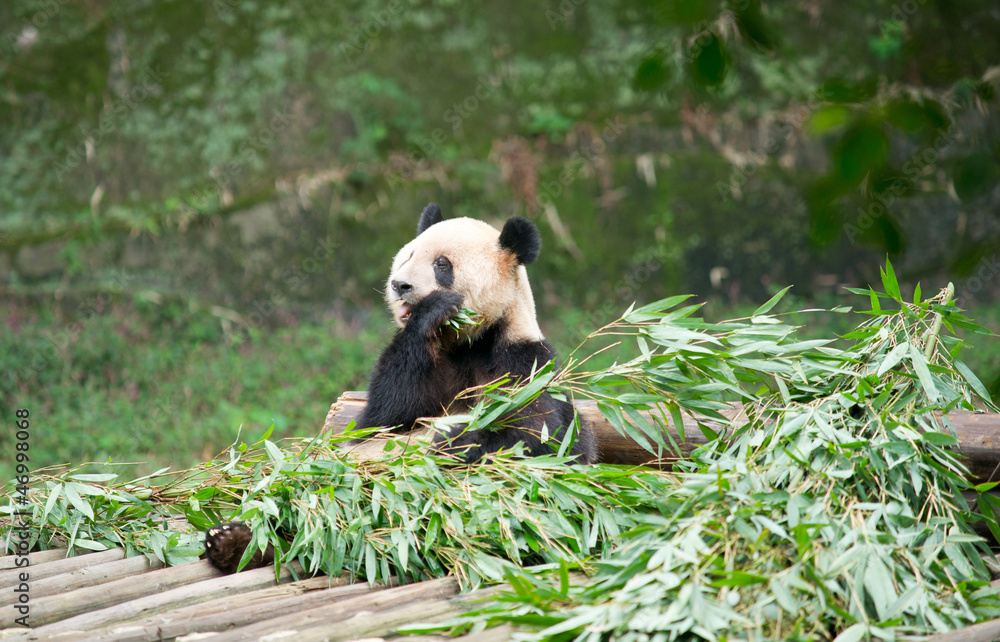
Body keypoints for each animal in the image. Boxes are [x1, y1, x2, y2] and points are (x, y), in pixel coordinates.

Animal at [203, 203, 596, 574]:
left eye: (442, 264)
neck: (467, 342)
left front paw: (452, 440)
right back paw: (234, 541)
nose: (399, 285)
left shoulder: (522, 362)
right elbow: (384, 416)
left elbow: (532, 431)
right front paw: (430, 311)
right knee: (292, 498)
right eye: (408, 255)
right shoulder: (424, 366)